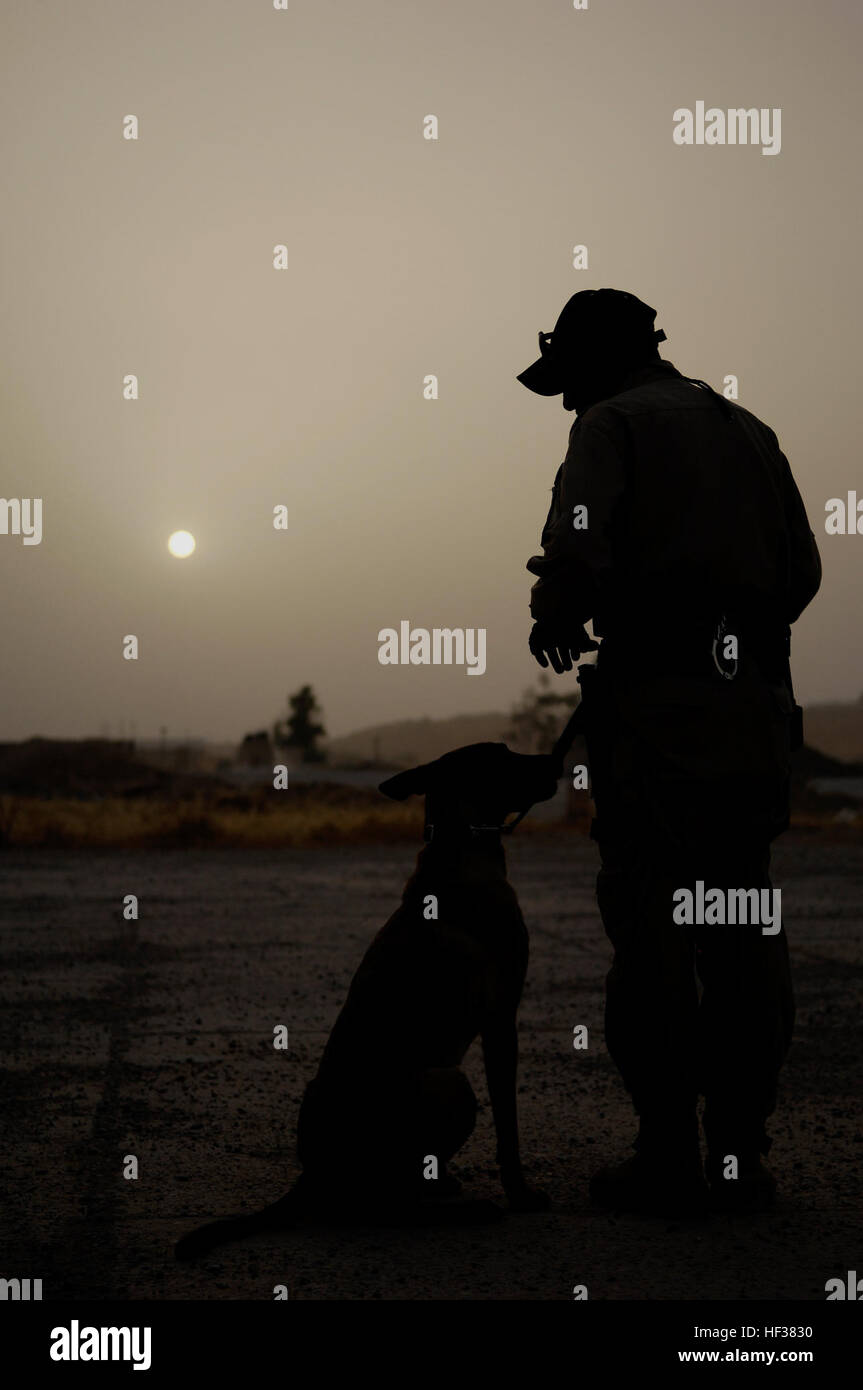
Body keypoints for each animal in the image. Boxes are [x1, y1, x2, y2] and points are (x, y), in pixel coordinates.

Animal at [177, 750, 561, 1262]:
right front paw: (520, 1193)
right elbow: (509, 1126)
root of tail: (314, 1175)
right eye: (502, 757)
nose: (555, 761)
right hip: (449, 1081)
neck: (460, 844)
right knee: (387, 1207)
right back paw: (464, 1210)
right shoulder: (502, 1020)